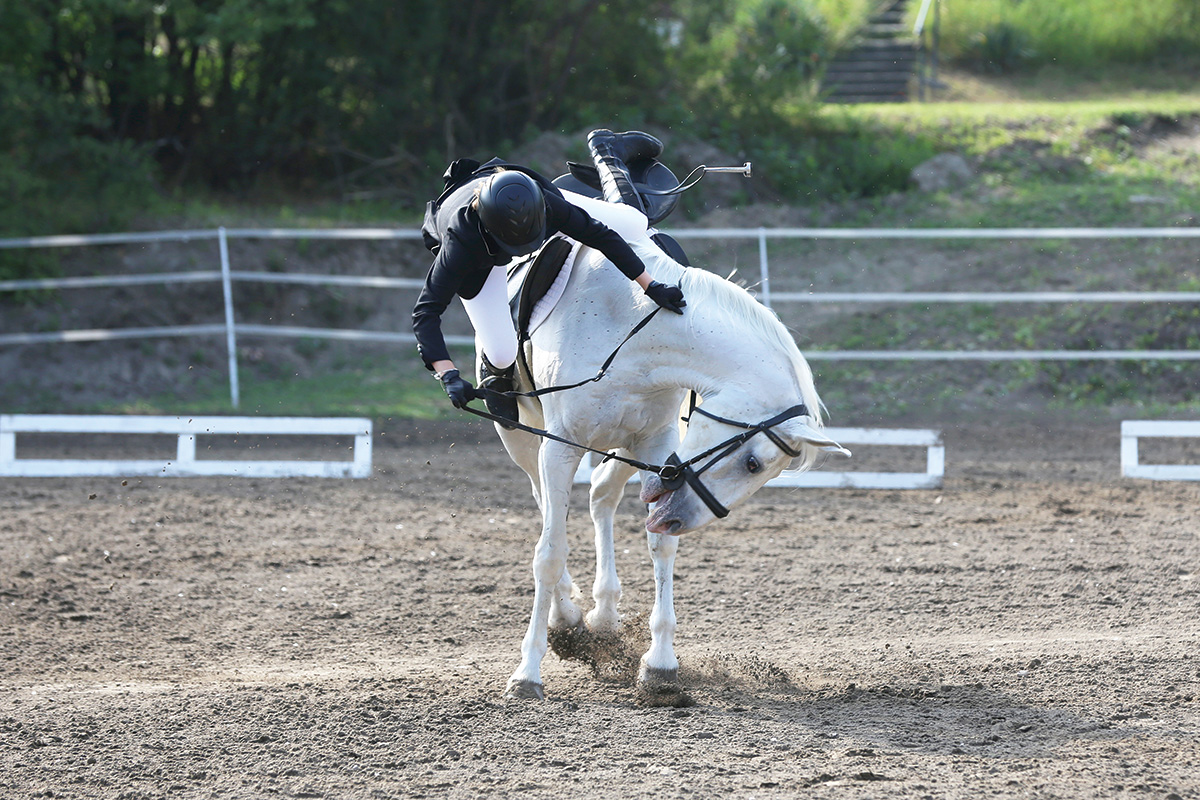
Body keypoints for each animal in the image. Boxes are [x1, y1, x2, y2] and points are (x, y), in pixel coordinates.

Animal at [482, 205, 849, 700]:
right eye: (752, 462)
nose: (676, 518)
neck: (632, 328)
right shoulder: (559, 447)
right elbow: (550, 552)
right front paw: (528, 672)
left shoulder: (656, 446)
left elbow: (660, 546)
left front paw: (659, 664)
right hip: (524, 437)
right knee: (546, 508)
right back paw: (568, 616)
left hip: (626, 448)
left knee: (601, 496)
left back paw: (604, 614)